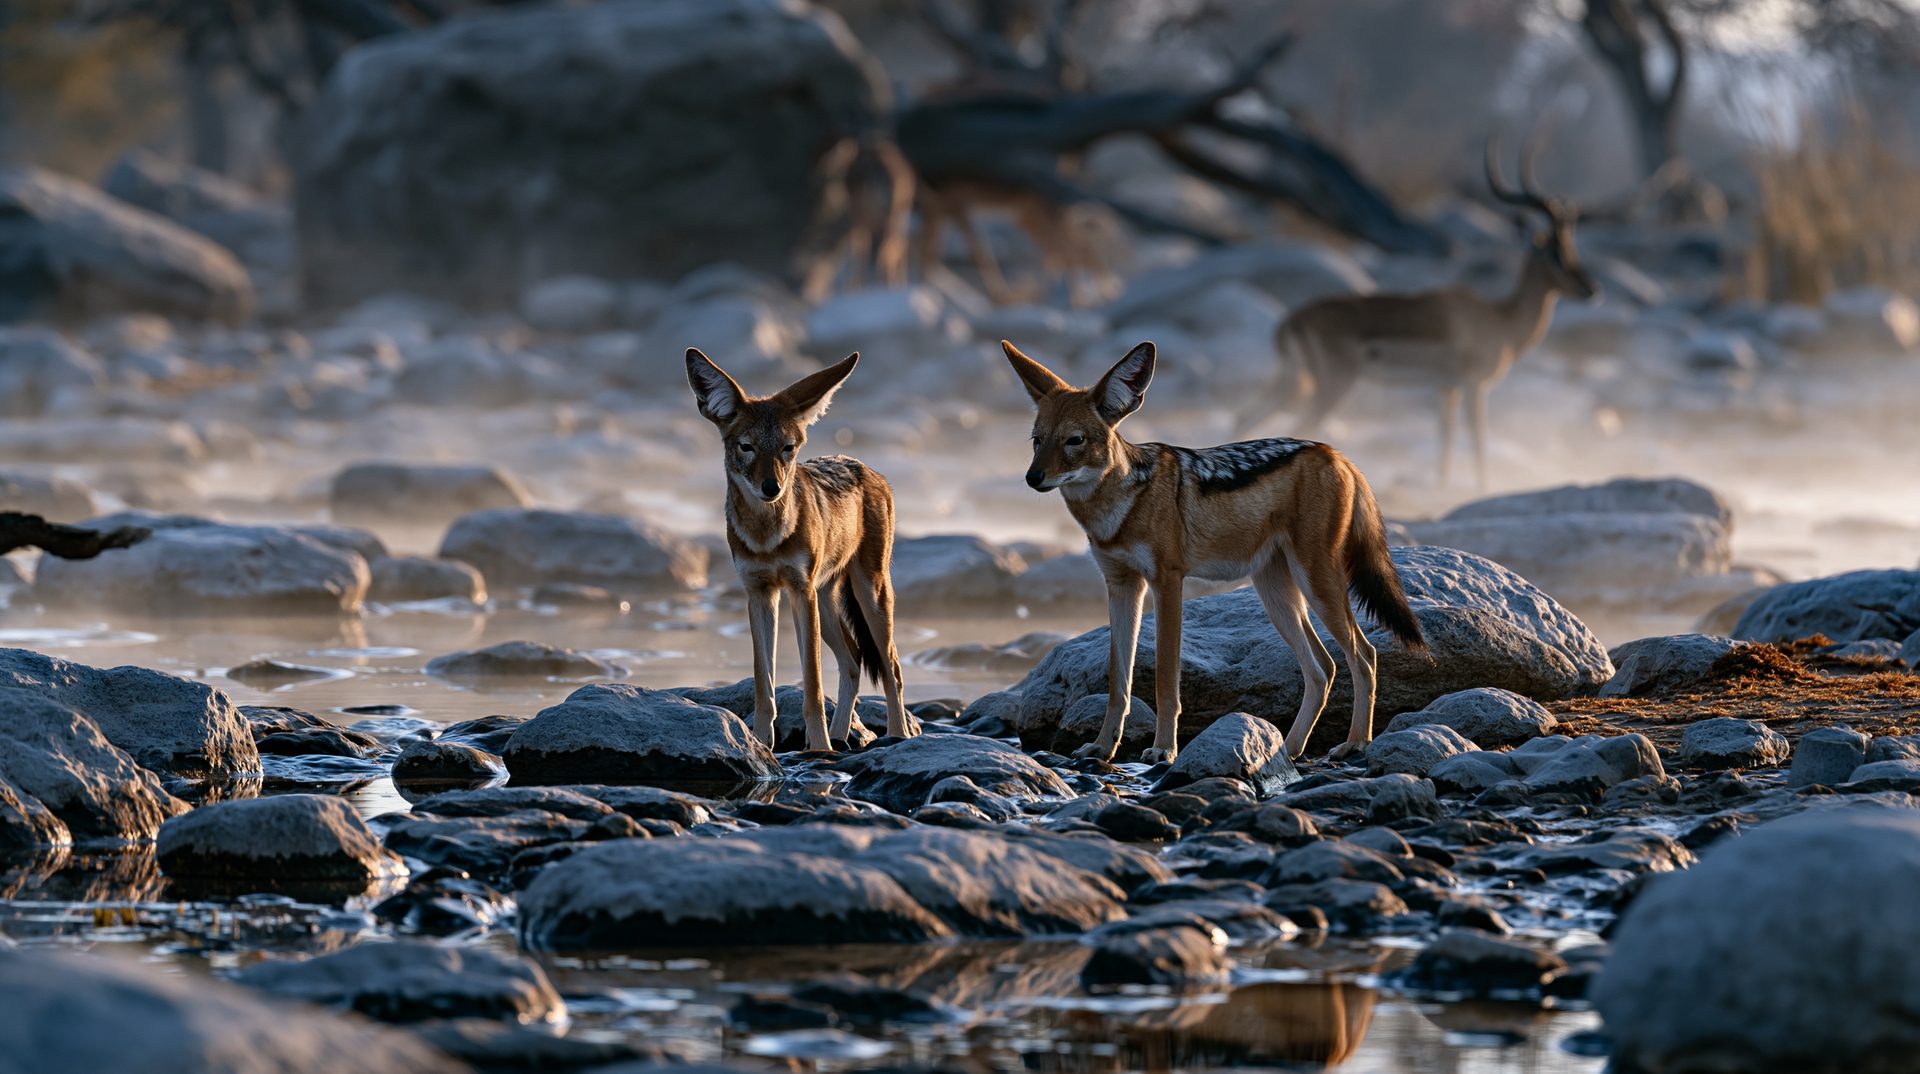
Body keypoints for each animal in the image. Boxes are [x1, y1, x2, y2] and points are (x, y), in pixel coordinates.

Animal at [685, 349, 915, 751]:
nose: (771, 488)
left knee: (892, 669)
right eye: (747, 447)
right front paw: (761, 743)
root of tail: (870, 470)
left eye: (787, 449)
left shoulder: (798, 591)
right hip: (826, 602)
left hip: (868, 595)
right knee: (854, 662)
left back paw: (895, 735)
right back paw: (840, 737)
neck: (766, 536)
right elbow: (764, 686)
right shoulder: (760, 594)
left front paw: (818, 747)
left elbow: (812, 685)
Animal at [1005, 339, 1427, 763]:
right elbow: (1117, 684)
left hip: (1317, 587)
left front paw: (1163, 749)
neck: (1118, 507)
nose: (1032, 477)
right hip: (1278, 596)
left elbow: (1165, 681)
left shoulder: (1167, 583)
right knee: (1323, 669)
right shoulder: (1122, 587)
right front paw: (1102, 747)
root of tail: (1337, 454)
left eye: (1074, 440)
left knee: (1365, 656)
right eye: (1037, 440)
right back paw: (1288, 750)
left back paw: (1355, 742)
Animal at [1237, 137, 1599, 488]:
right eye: (1555, 253)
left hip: (1292, 380)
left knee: (1245, 418)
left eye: (1571, 248)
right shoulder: (1473, 385)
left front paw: (1442, 487)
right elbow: (1477, 439)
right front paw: (1482, 488)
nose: (1591, 289)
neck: (1500, 319)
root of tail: (1291, 321)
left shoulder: (1446, 388)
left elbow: (1445, 439)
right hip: (1332, 384)